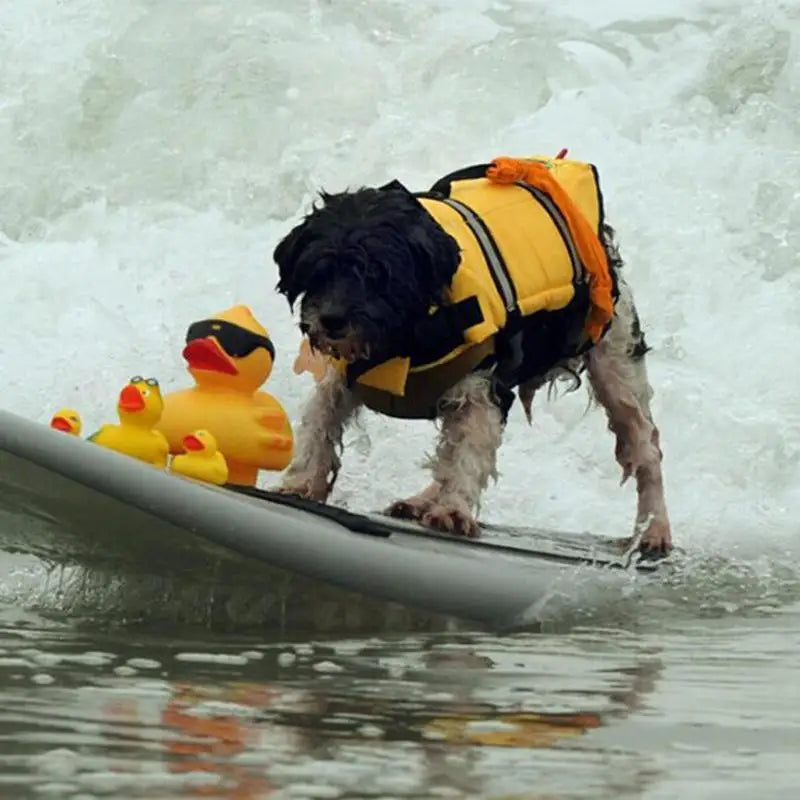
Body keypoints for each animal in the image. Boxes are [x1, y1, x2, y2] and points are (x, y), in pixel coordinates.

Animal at [272, 153, 672, 552]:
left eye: (378, 275)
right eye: (319, 270)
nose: (331, 321)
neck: (405, 339)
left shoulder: (482, 390)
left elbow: (468, 452)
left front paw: (453, 510)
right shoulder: (344, 375)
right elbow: (322, 418)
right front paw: (302, 482)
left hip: (614, 358)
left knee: (645, 442)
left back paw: (655, 529)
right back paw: (420, 500)